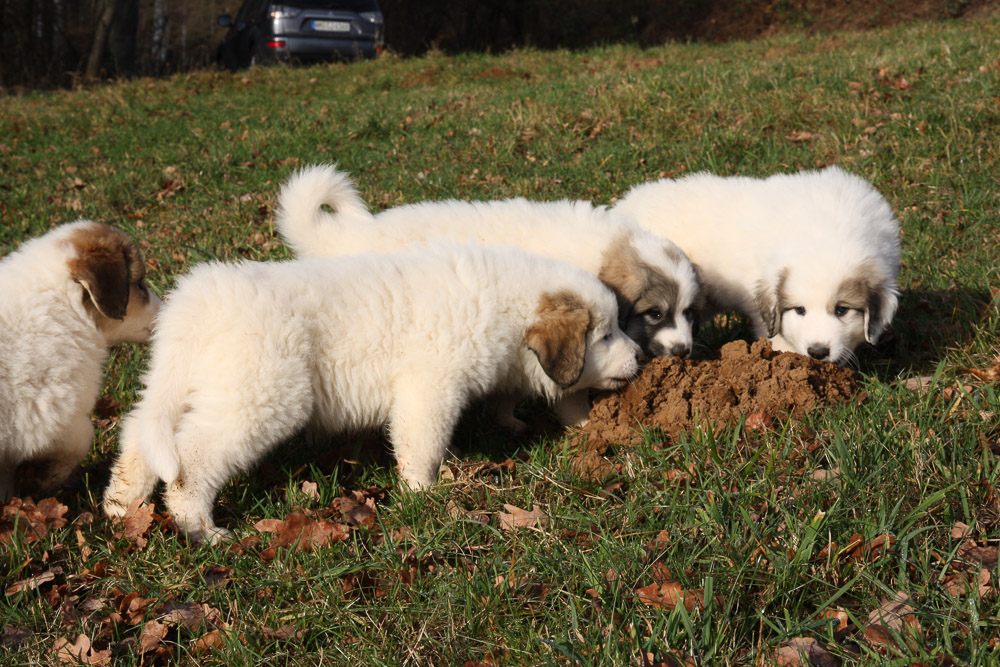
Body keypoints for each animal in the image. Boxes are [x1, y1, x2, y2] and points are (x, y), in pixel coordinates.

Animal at [0, 222, 160, 498]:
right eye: (139, 283)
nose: (165, 311)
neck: (65, 308)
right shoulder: (46, 413)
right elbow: (83, 437)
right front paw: (41, 481)